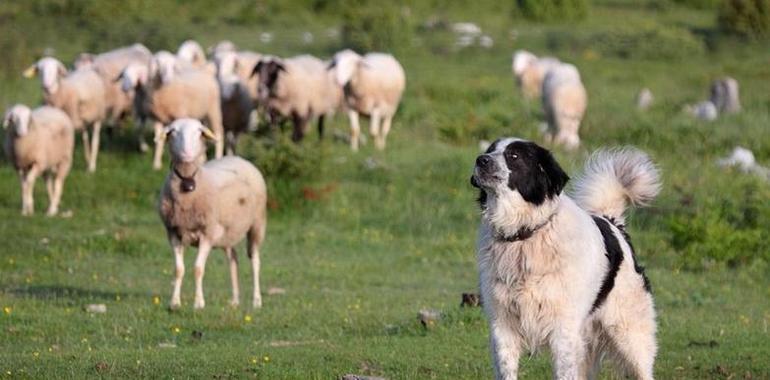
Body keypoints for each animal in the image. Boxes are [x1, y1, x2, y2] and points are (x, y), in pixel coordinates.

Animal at [156, 118, 268, 308]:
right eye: (174, 131)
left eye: (199, 131)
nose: (186, 153)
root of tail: (237, 157)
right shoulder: (173, 233)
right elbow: (178, 270)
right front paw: (175, 303)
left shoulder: (207, 234)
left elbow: (198, 269)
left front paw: (199, 303)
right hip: (228, 232)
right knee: (233, 259)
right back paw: (235, 300)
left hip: (257, 224)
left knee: (255, 261)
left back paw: (256, 300)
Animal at [472, 139, 656, 380]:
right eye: (490, 150)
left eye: (514, 156)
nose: (481, 160)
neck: (524, 235)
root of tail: (612, 222)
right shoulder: (502, 327)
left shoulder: (563, 331)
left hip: (630, 335)